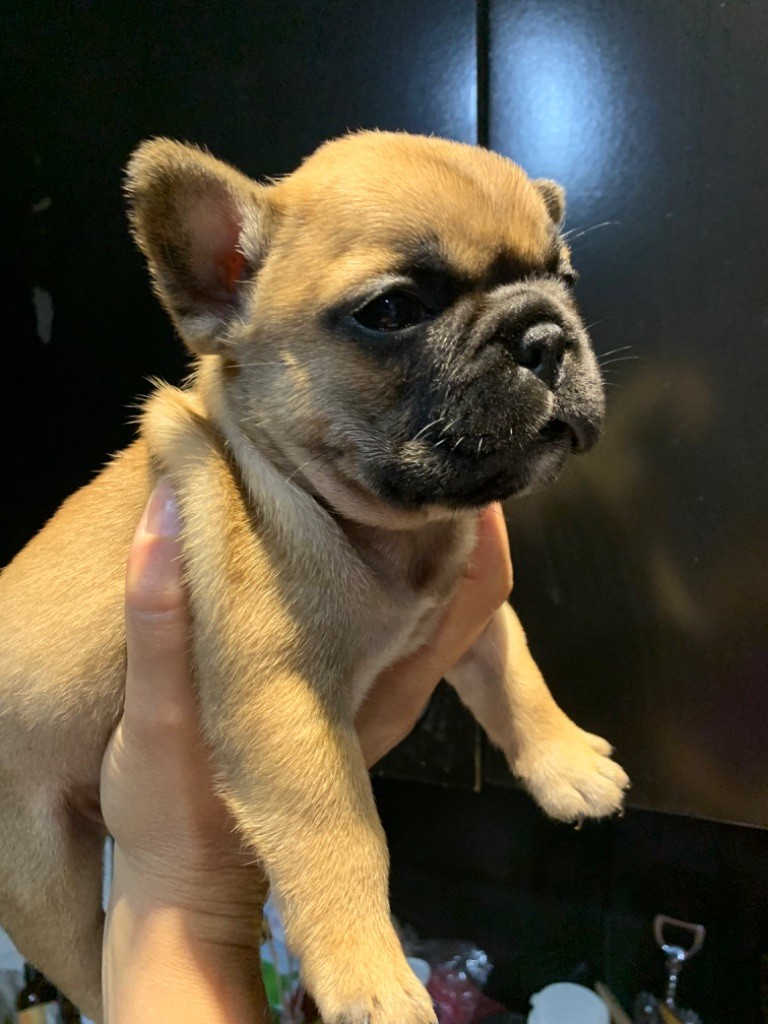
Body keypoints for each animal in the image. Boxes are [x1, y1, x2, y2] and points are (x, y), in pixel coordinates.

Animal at [0, 131, 629, 1023]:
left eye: (564, 279)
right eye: (392, 311)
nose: (544, 334)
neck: (394, 534)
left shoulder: (470, 609)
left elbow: (516, 675)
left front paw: (567, 763)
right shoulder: (282, 702)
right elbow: (341, 830)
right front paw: (370, 974)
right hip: (42, 875)